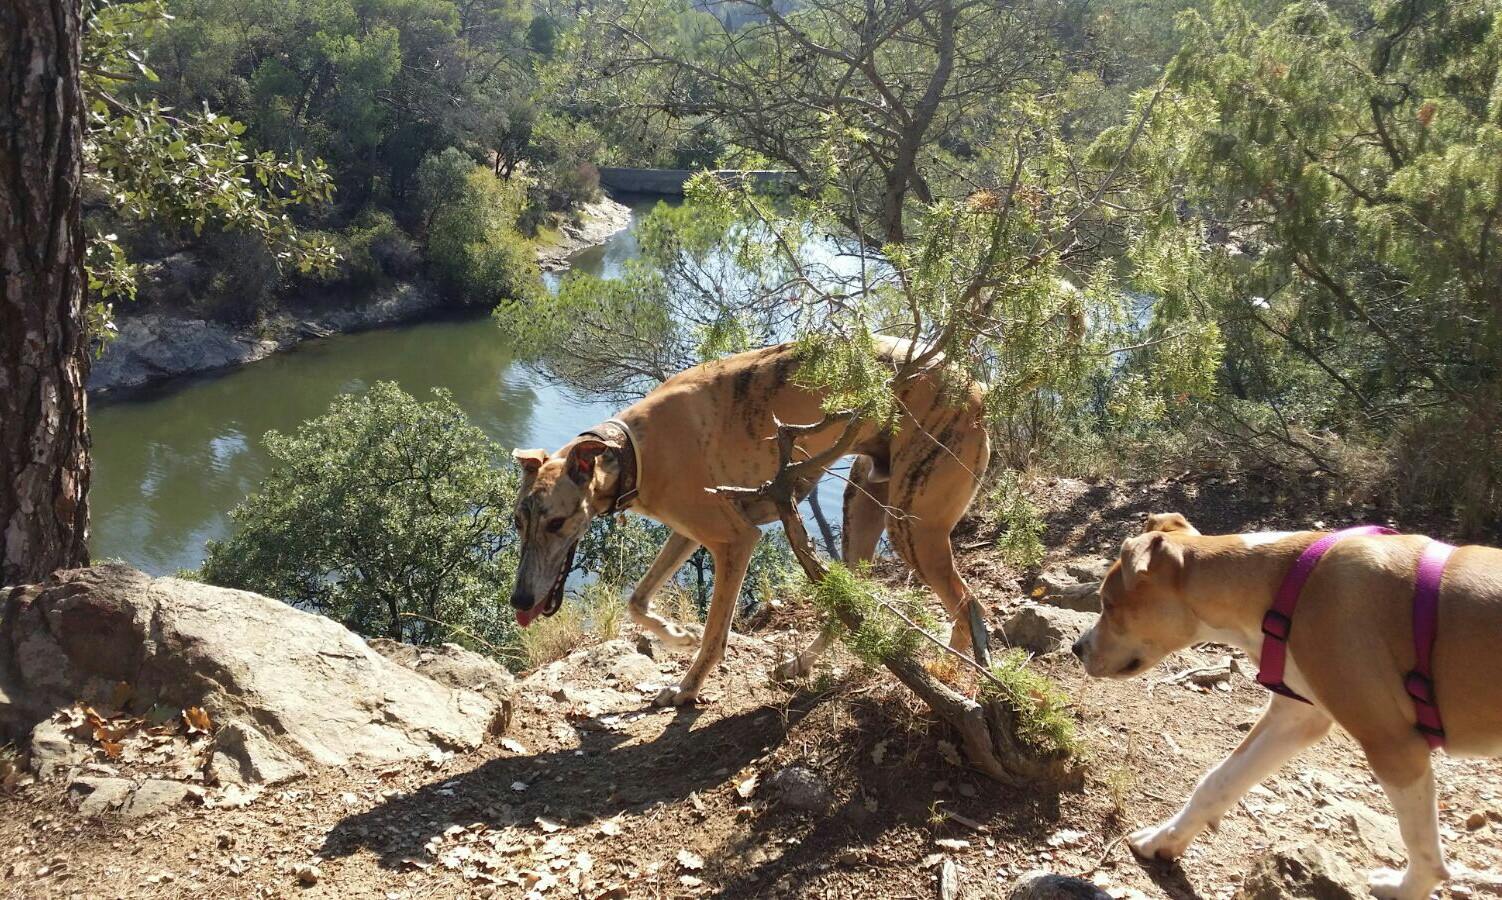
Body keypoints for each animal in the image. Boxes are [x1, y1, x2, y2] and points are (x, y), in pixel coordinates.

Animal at [508, 338, 990, 706]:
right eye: (518, 523)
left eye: (556, 523)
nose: (519, 600)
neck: (632, 449)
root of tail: (978, 387)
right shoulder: (686, 533)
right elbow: (637, 600)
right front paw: (675, 635)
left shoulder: (734, 540)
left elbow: (715, 634)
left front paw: (685, 689)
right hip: (864, 505)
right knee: (849, 602)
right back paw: (798, 664)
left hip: (914, 529)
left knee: (969, 605)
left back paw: (950, 670)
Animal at [1073, 513, 1502, 900]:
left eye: (1108, 604)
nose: (1077, 648)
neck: (1285, 584)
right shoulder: (1297, 717)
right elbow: (1218, 781)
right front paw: (1163, 840)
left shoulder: (1394, 744)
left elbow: (1420, 842)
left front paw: (1405, 889)